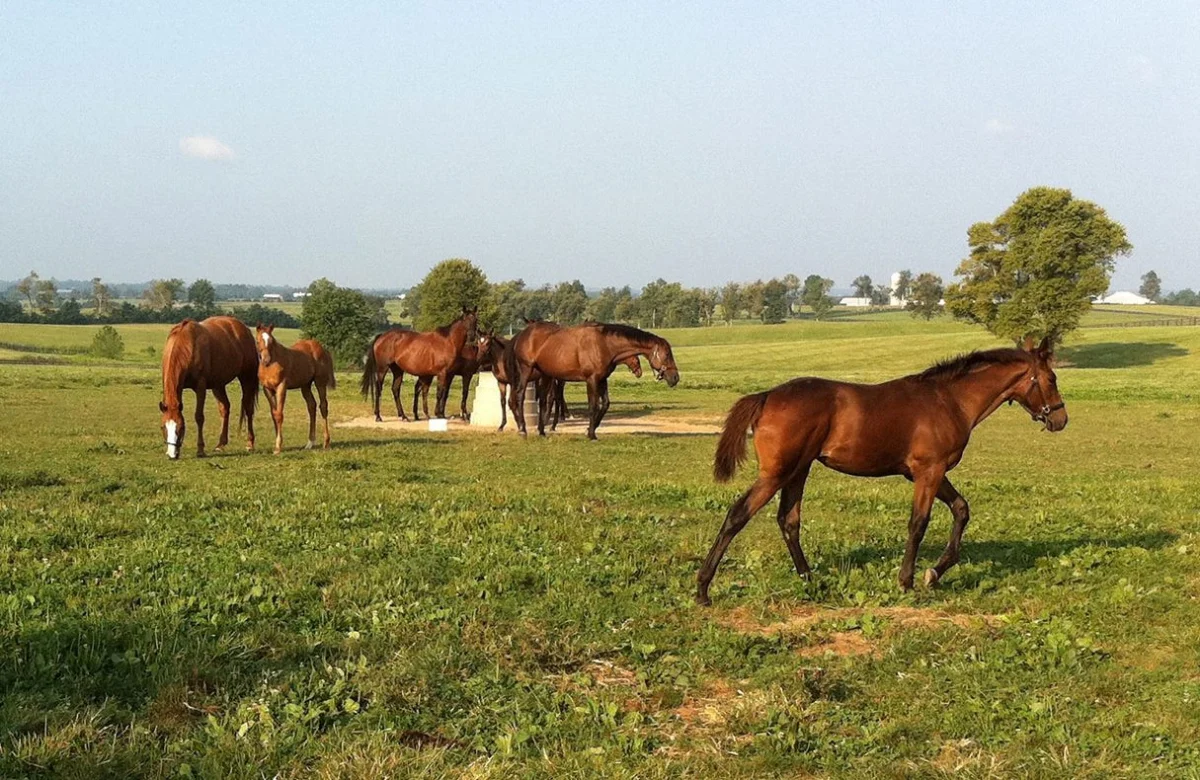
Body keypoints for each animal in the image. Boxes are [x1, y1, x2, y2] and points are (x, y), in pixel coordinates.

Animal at [159, 316, 259, 459]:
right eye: (163, 427)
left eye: (181, 427)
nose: (172, 455)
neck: (186, 345)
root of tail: (244, 329)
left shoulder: (200, 387)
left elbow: (199, 417)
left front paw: (200, 449)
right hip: (218, 384)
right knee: (225, 408)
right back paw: (221, 444)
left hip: (247, 378)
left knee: (248, 408)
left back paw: (250, 443)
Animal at [255, 324, 336, 454]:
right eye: (257, 341)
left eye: (271, 341)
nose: (266, 360)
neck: (272, 365)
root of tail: (322, 349)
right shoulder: (267, 389)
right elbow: (274, 414)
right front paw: (277, 443)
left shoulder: (281, 387)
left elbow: (279, 414)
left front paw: (278, 447)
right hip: (305, 385)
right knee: (311, 406)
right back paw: (310, 443)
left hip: (320, 382)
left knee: (323, 406)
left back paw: (326, 442)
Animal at [507, 321, 680, 439]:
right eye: (666, 354)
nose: (675, 378)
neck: (604, 344)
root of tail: (522, 334)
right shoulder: (592, 380)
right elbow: (593, 406)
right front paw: (591, 434)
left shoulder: (602, 379)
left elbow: (605, 404)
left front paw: (591, 429)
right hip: (527, 371)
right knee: (519, 396)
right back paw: (523, 429)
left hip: (545, 375)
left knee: (543, 401)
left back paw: (541, 431)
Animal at [695, 337, 1068, 606]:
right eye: (1051, 378)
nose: (1061, 419)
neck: (949, 400)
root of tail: (767, 396)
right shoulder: (929, 471)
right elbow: (918, 524)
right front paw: (907, 581)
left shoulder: (928, 472)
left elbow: (961, 509)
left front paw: (934, 573)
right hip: (777, 473)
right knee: (737, 515)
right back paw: (702, 590)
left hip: (798, 471)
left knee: (788, 520)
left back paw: (810, 581)